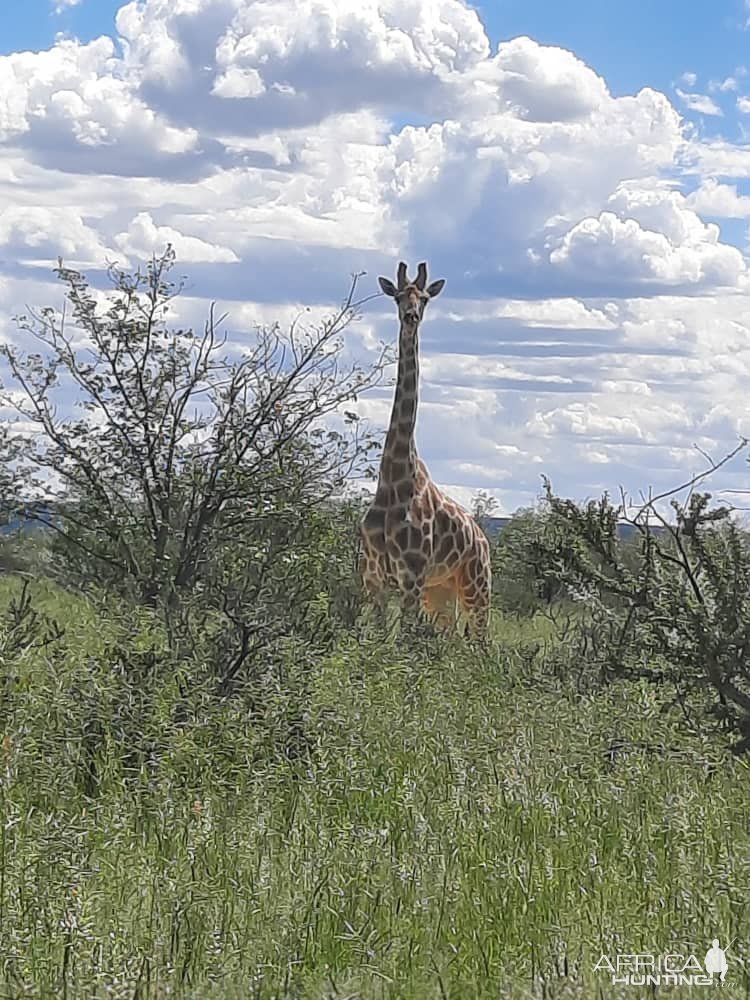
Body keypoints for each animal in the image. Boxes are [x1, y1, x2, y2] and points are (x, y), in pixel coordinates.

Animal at [360, 262, 494, 636]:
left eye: (424, 298)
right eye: (398, 297)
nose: (411, 316)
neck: (393, 480)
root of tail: (483, 538)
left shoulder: (411, 578)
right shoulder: (373, 579)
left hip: (476, 586)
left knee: (481, 639)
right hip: (441, 592)